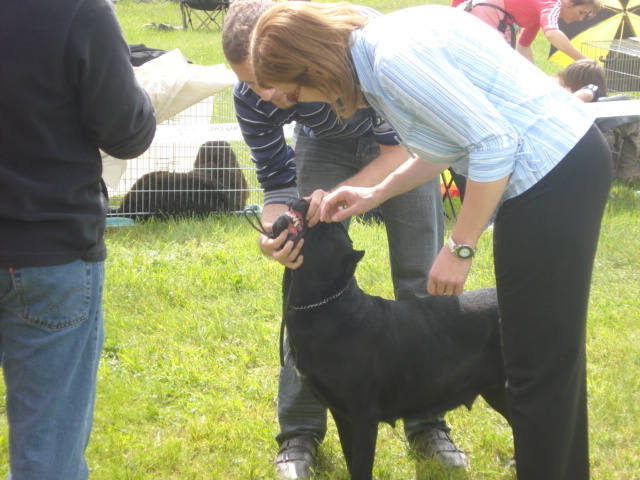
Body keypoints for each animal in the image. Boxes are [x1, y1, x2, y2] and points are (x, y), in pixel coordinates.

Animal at [272, 199, 510, 480]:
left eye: (329, 227)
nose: (306, 200)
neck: (324, 304)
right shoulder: (341, 413)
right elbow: (351, 457)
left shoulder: (363, 415)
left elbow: (361, 465)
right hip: (496, 390)